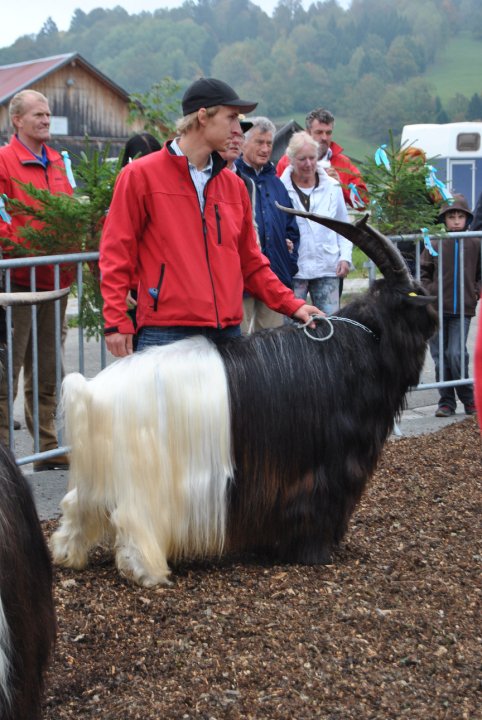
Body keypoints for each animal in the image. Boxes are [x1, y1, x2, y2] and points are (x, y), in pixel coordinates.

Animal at [50, 211, 438, 588]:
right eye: (415, 296)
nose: (436, 318)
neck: (359, 344)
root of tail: (95, 392)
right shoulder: (323, 466)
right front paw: (314, 553)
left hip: (101, 470)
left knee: (78, 503)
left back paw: (67, 555)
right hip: (144, 472)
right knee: (132, 515)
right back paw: (148, 573)